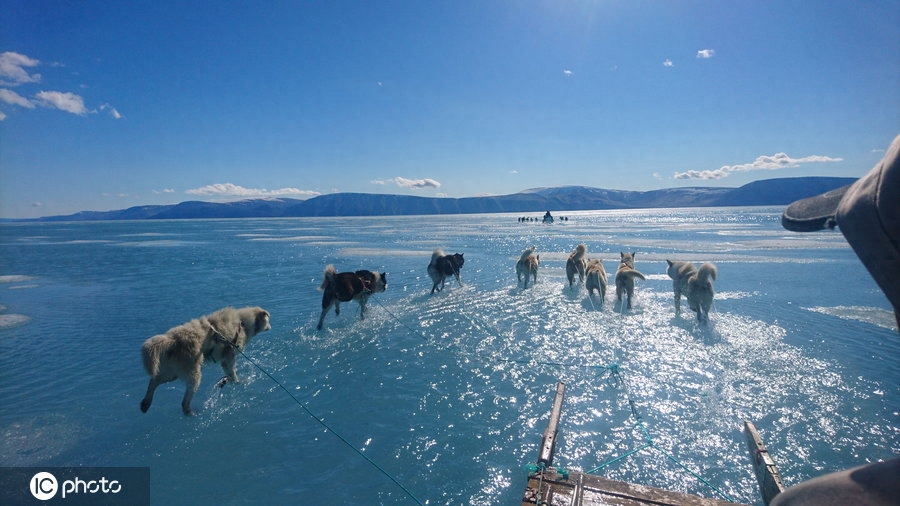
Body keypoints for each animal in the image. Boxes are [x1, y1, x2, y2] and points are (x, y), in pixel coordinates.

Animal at [139, 306, 272, 414]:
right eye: (268, 320)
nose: (271, 327)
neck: (243, 323)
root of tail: (172, 340)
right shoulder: (229, 357)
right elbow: (233, 374)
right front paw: (238, 382)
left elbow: (229, 375)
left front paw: (227, 381)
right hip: (193, 374)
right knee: (184, 402)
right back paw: (190, 413)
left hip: (172, 372)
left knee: (154, 381)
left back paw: (146, 403)